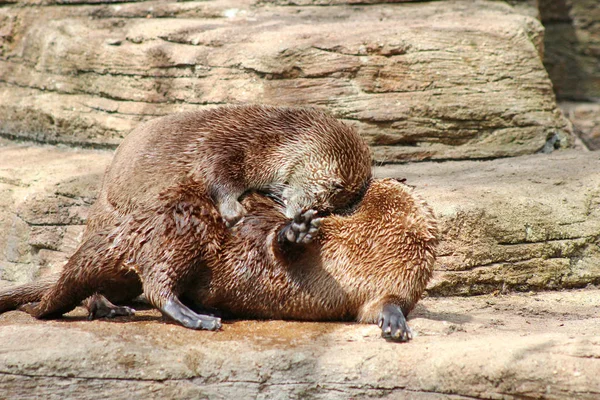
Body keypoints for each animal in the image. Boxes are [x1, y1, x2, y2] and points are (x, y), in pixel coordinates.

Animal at [0, 180, 436, 342]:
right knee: (156, 283)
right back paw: (196, 318)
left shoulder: (393, 282)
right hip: (183, 231)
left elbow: (384, 305)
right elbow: (274, 243)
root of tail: (132, 227)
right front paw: (295, 230)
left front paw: (395, 324)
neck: (368, 247)